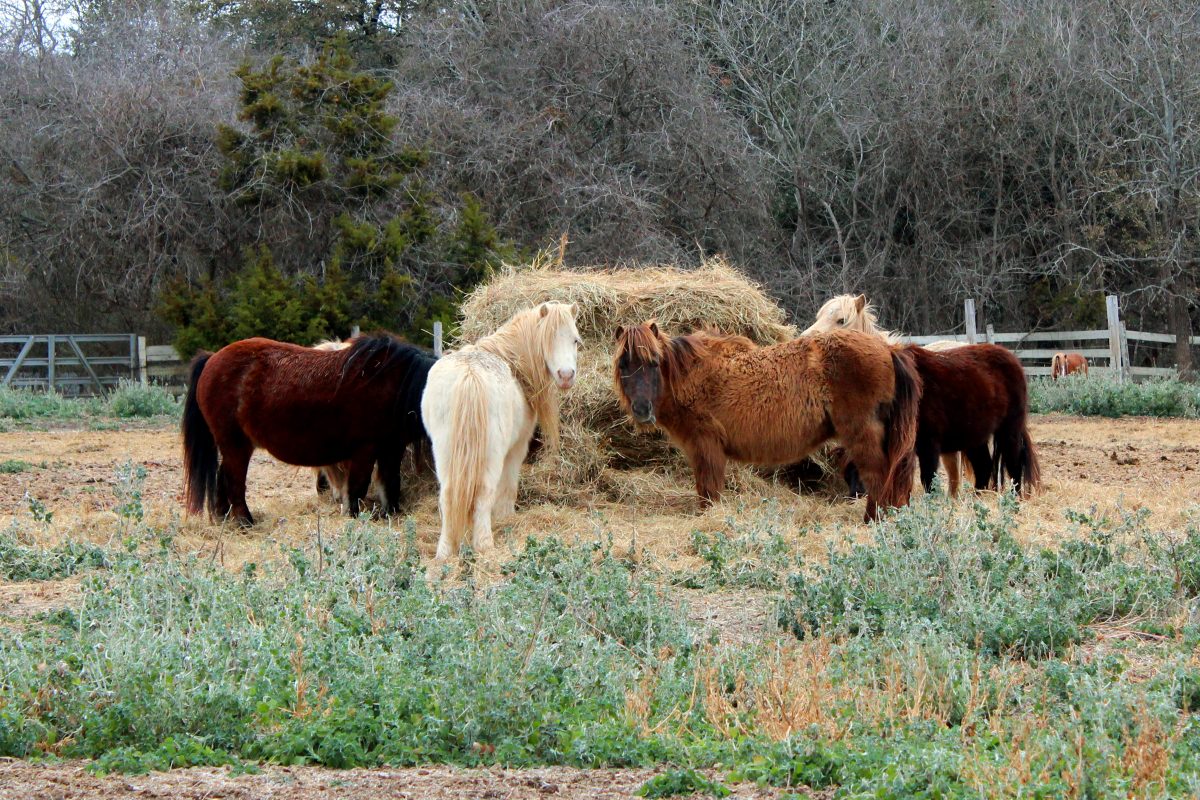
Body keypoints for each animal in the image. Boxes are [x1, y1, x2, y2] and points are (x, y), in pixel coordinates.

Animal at [182, 333, 436, 525]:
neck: (396, 383)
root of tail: (212, 358)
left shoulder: (391, 449)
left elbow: (391, 485)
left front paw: (390, 515)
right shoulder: (365, 451)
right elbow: (357, 488)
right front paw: (353, 518)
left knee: (223, 478)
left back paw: (225, 518)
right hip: (236, 445)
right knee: (234, 482)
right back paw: (245, 522)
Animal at [421, 302, 581, 559]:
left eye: (575, 340)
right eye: (546, 339)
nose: (566, 376)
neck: (512, 360)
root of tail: (470, 375)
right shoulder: (516, 448)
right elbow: (507, 486)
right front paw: (506, 517)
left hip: (444, 452)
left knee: (448, 495)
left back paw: (445, 552)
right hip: (491, 455)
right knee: (484, 494)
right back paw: (485, 546)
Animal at [613, 322, 922, 521]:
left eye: (653, 363)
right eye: (623, 365)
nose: (641, 409)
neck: (692, 376)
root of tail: (888, 349)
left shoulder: (706, 447)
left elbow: (708, 492)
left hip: (863, 436)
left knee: (878, 478)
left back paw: (872, 521)